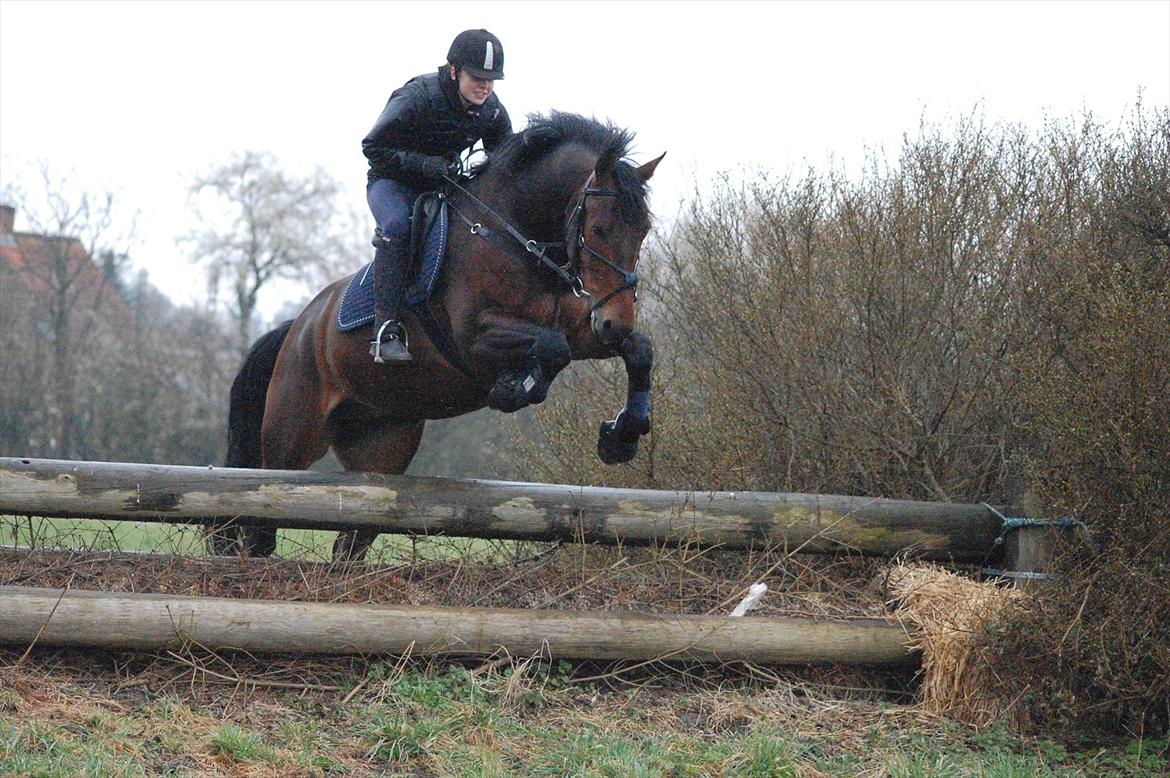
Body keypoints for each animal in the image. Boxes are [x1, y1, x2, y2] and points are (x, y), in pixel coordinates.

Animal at [210, 110, 664, 559]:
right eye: (600, 229)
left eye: (643, 230)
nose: (616, 321)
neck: (514, 237)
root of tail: (298, 328)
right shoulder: (474, 338)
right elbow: (553, 349)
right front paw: (513, 389)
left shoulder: (583, 326)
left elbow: (636, 349)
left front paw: (621, 436)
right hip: (291, 437)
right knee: (261, 524)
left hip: (380, 450)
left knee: (350, 541)